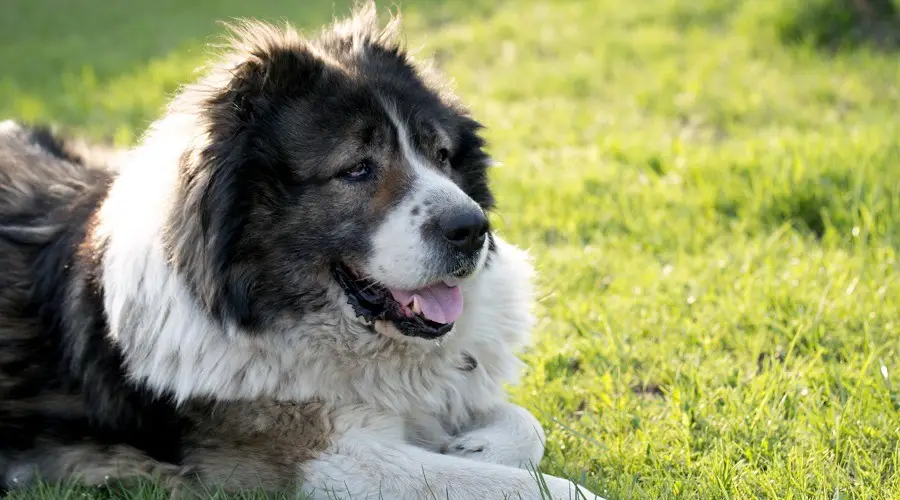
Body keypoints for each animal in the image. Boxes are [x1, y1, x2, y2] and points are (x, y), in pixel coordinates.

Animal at [1, 3, 604, 500]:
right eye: (357, 169)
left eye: (441, 155)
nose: (473, 228)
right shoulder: (320, 459)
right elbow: (517, 486)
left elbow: (524, 423)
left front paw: (476, 443)